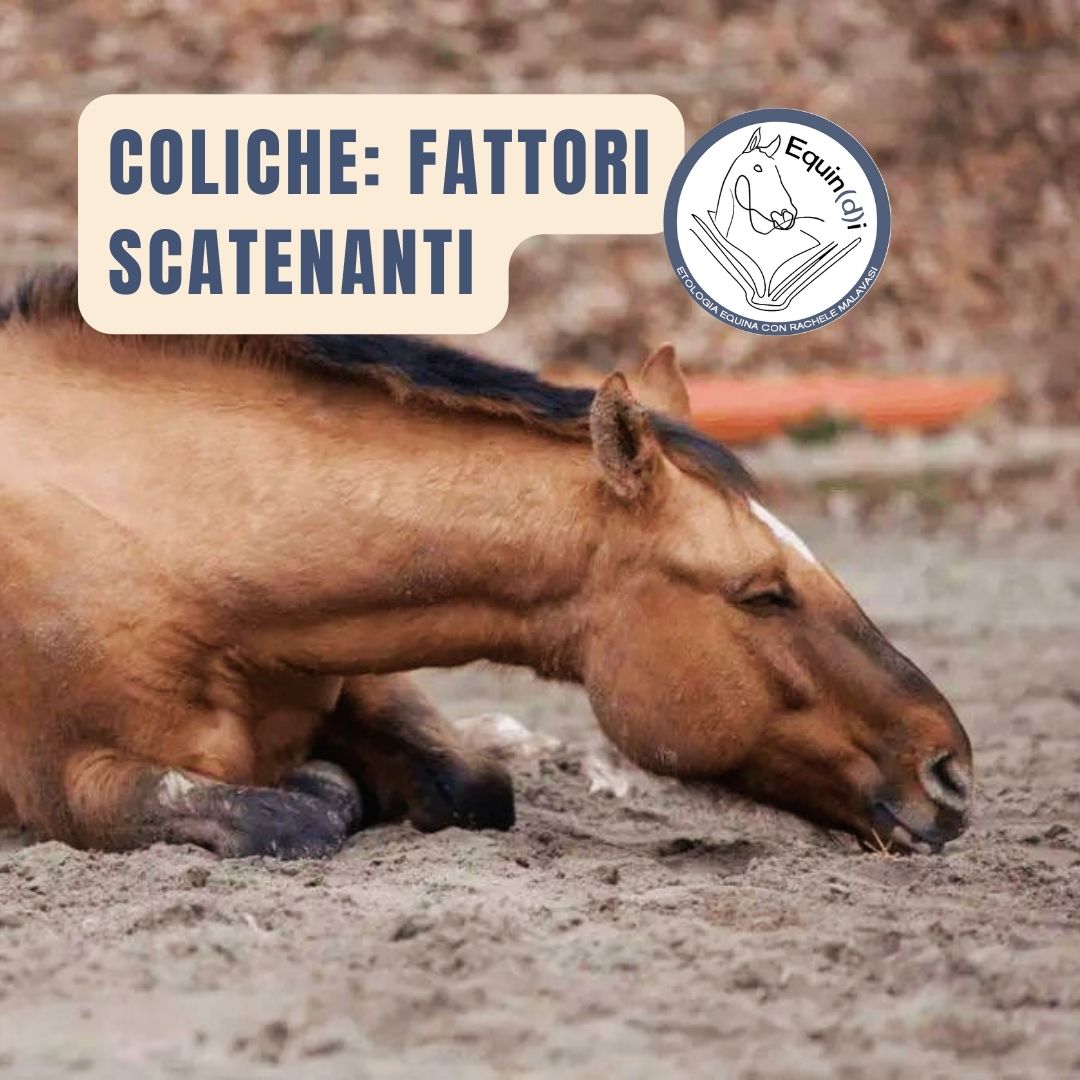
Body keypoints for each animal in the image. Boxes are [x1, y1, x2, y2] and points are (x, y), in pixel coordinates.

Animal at [0, 268, 972, 858]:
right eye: (762, 594)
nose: (950, 770)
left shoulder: (359, 668)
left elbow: (472, 784)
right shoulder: (75, 786)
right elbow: (294, 810)